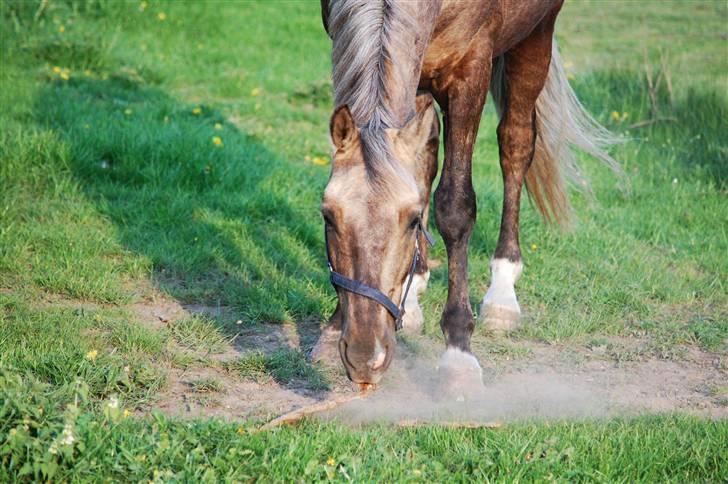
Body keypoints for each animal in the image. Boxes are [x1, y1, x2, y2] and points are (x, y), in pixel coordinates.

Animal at [316, 0, 616, 386]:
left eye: (412, 221)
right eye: (328, 216)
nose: (365, 355)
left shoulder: (470, 72)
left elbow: (455, 206)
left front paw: (458, 357)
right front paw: (332, 332)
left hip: (536, 35)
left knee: (516, 144)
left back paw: (502, 295)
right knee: (426, 157)